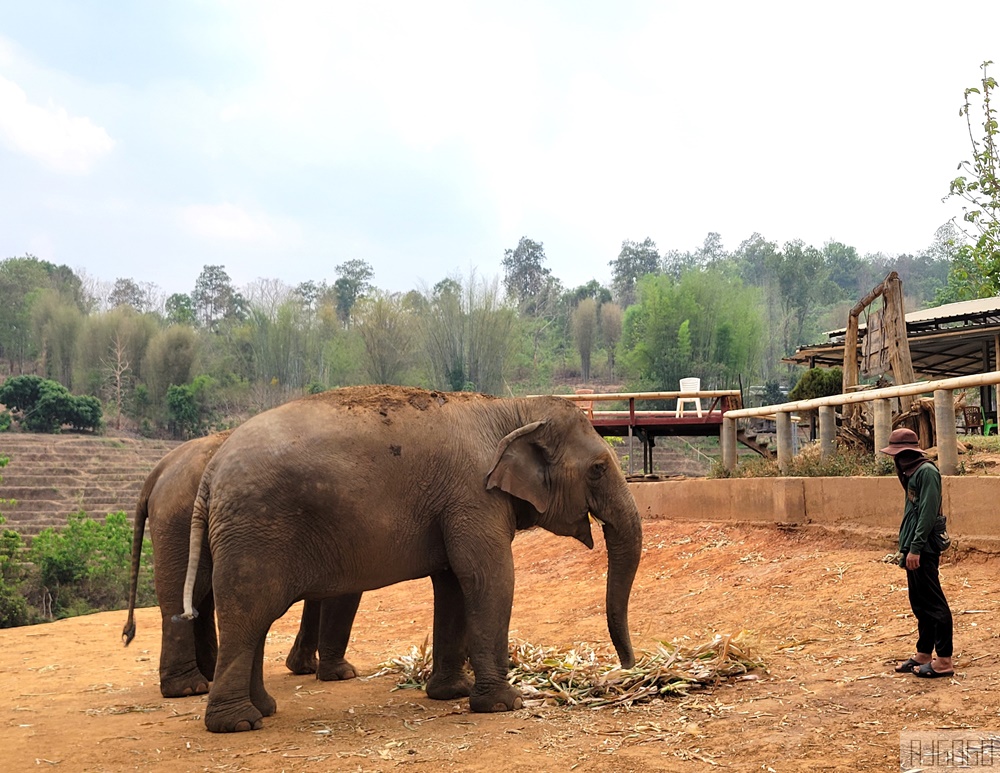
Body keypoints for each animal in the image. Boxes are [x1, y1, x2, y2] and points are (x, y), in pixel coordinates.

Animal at [121, 432, 362, 697]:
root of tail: (159, 470)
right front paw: (343, 675)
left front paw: (304, 668)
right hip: (178, 520)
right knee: (182, 593)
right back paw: (189, 688)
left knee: (200, 596)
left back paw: (210, 673)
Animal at [178, 385, 642, 733]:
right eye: (599, 468)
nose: (626, 669)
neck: (510, 409)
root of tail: (211, 474)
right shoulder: (473, 495)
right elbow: (490, 578)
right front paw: (504, 705)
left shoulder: (455, 504)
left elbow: (454, 584)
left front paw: (451, 693)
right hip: (254, 532)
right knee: (249, 613)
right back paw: (238, 723)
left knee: (256, 620)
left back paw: (264, 710)